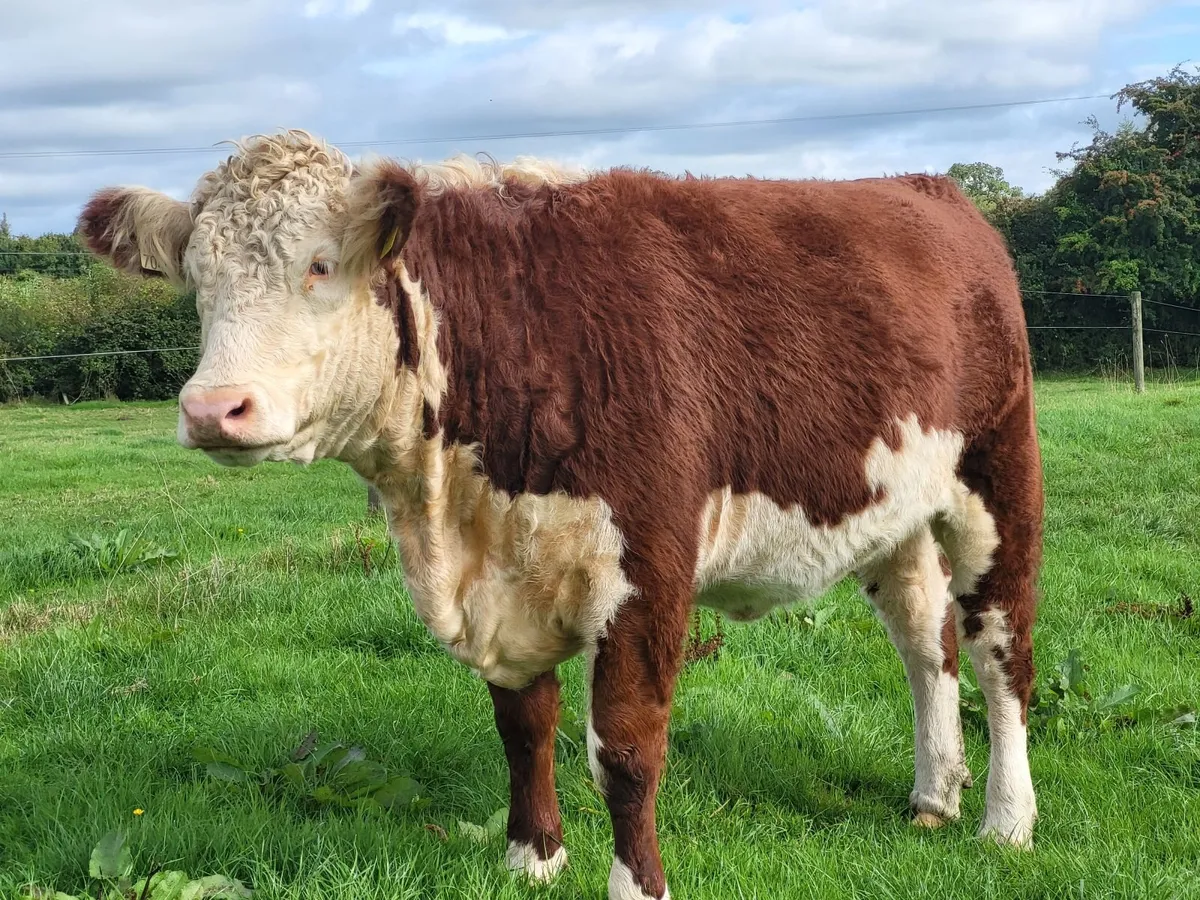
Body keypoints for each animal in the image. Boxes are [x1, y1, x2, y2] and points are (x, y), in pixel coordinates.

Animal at [78, 130, 1044, 900]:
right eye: (196, 280)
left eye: (321, 263)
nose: (214, 409)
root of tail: (931, 189)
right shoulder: (502, 576)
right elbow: (523, 726)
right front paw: (533, 858)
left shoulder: (649, 564)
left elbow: (626, 752)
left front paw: (637, 885)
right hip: (897, 510)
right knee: (926, 644)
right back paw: (933, 794)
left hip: (999, 480)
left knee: (1000, 652)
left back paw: (1006, 820)